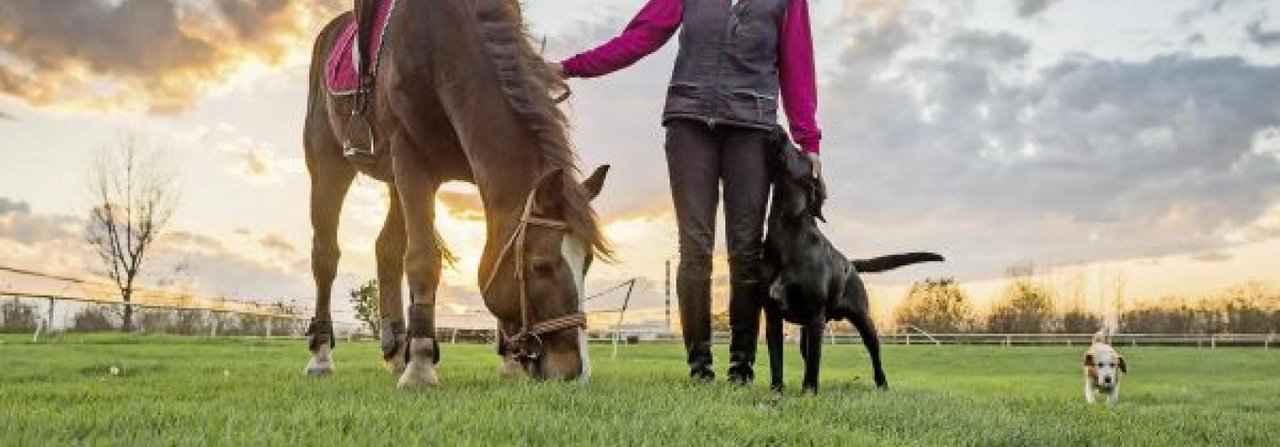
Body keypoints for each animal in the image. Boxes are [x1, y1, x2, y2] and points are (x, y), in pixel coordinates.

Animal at [307, 0, 611, 384]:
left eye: (586, 263)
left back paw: (397, 351)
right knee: (326, 256)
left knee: (386, 250)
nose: (575, 371)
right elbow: (423, 260)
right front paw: (421, 364)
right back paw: (321, 355)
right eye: (541, 266)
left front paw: (509, 362)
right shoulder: (411, 159)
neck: (440, 45)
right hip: (328, 163)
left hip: (393, 178)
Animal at [762, 133, 947, 391]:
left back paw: (882, 385)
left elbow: (813, 366)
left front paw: (809, 392)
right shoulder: (772, 316)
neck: (786, 232)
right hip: (808, 329)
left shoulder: (815, 316)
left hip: (863, 320)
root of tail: (851, 263)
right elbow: (777, 361)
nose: (779, 130)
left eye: (800, 152)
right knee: (808, 354)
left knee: (874, 353)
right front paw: (777, 392)